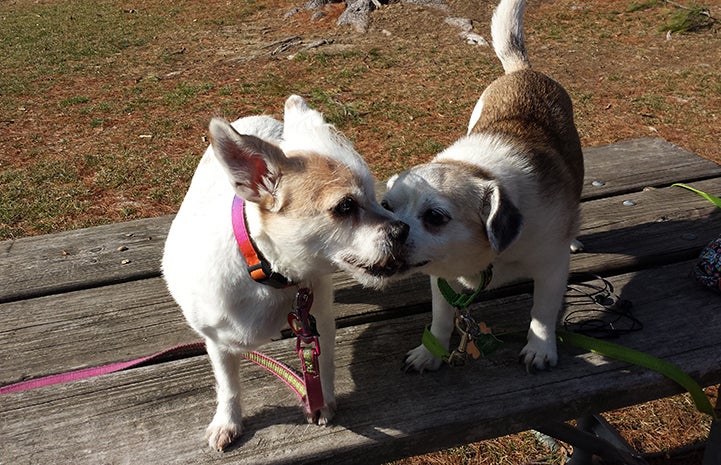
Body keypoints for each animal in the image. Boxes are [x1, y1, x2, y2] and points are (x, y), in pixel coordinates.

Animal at [165, 95, 410, 450]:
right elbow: (228, 385)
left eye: (378, 201)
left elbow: (322, 364)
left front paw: (322, 402)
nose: (403, 229)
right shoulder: (217, 341)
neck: (270, 275)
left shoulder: (319, 321)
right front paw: (228, 421)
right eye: (345, 207)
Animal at [380, 0, 584, 372]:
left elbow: (542, 314)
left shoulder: (551, 269)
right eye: (386, 207)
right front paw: (431, 352)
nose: (394, 231)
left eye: (436, 217)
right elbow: (442, 317)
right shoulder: (442, 278)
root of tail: (522, 71)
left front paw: (540, 348)